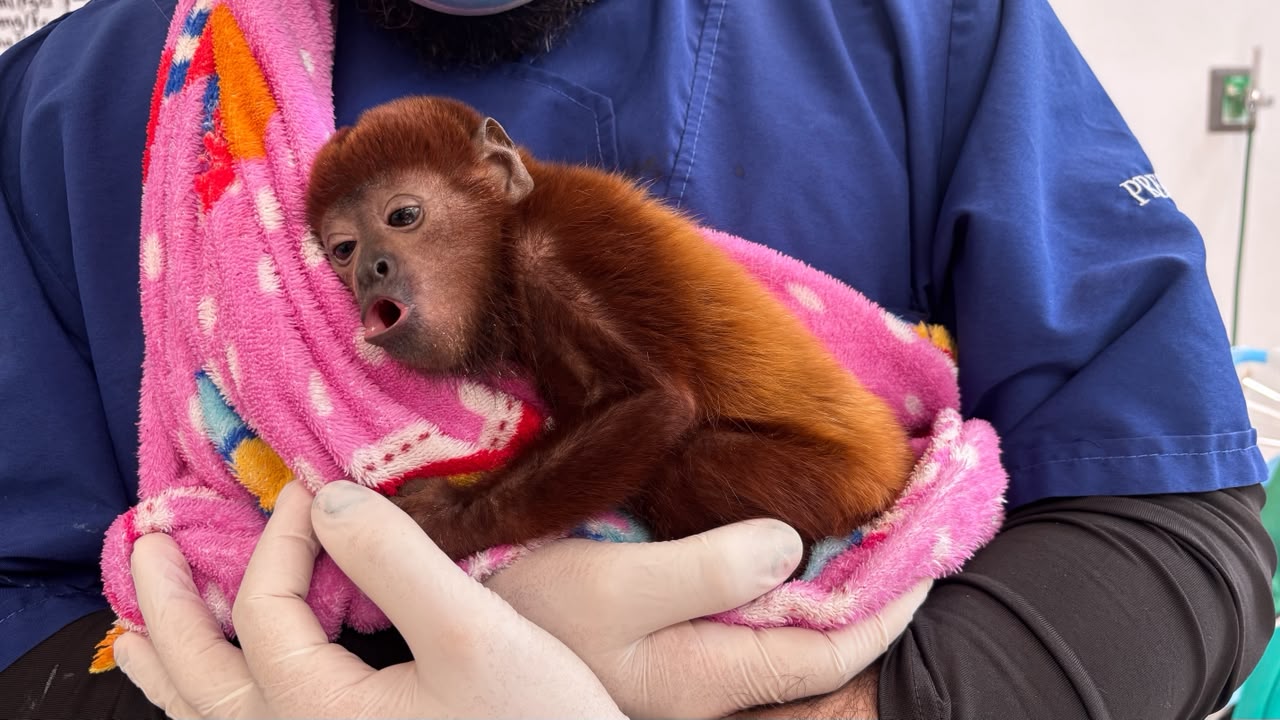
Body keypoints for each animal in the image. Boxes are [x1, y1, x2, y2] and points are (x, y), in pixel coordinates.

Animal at [305, 96, 915, 562]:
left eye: (403, 217)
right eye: (344, 250)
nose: (369, 271)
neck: (509, 229)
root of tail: (893, 459)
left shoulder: (555, 245)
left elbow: (657, 401)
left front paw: (447, 519)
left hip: (840, 482)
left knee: (692, 461)